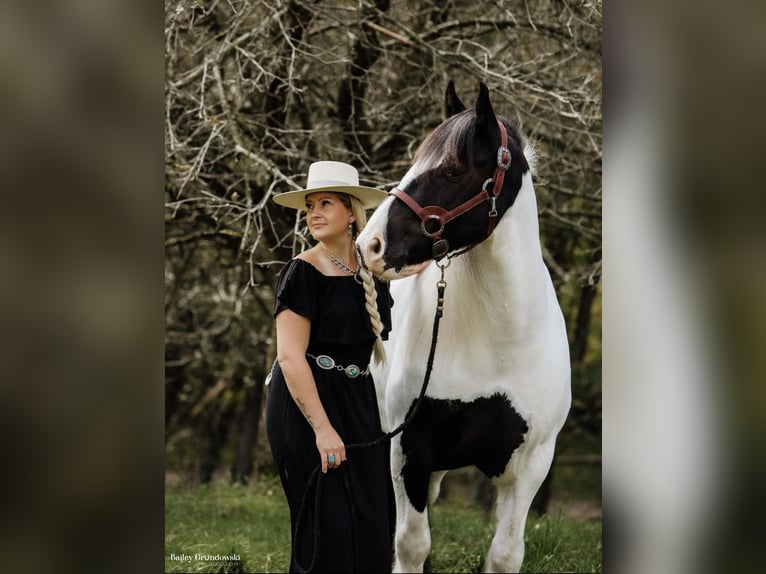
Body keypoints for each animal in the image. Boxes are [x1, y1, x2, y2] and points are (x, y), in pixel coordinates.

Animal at [356, 82, 572, 574]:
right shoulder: (410, 451)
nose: (369, 244)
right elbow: (411, 546)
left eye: (452, 170)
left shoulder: (531, 464)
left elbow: (505, 554)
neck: (499, 343)